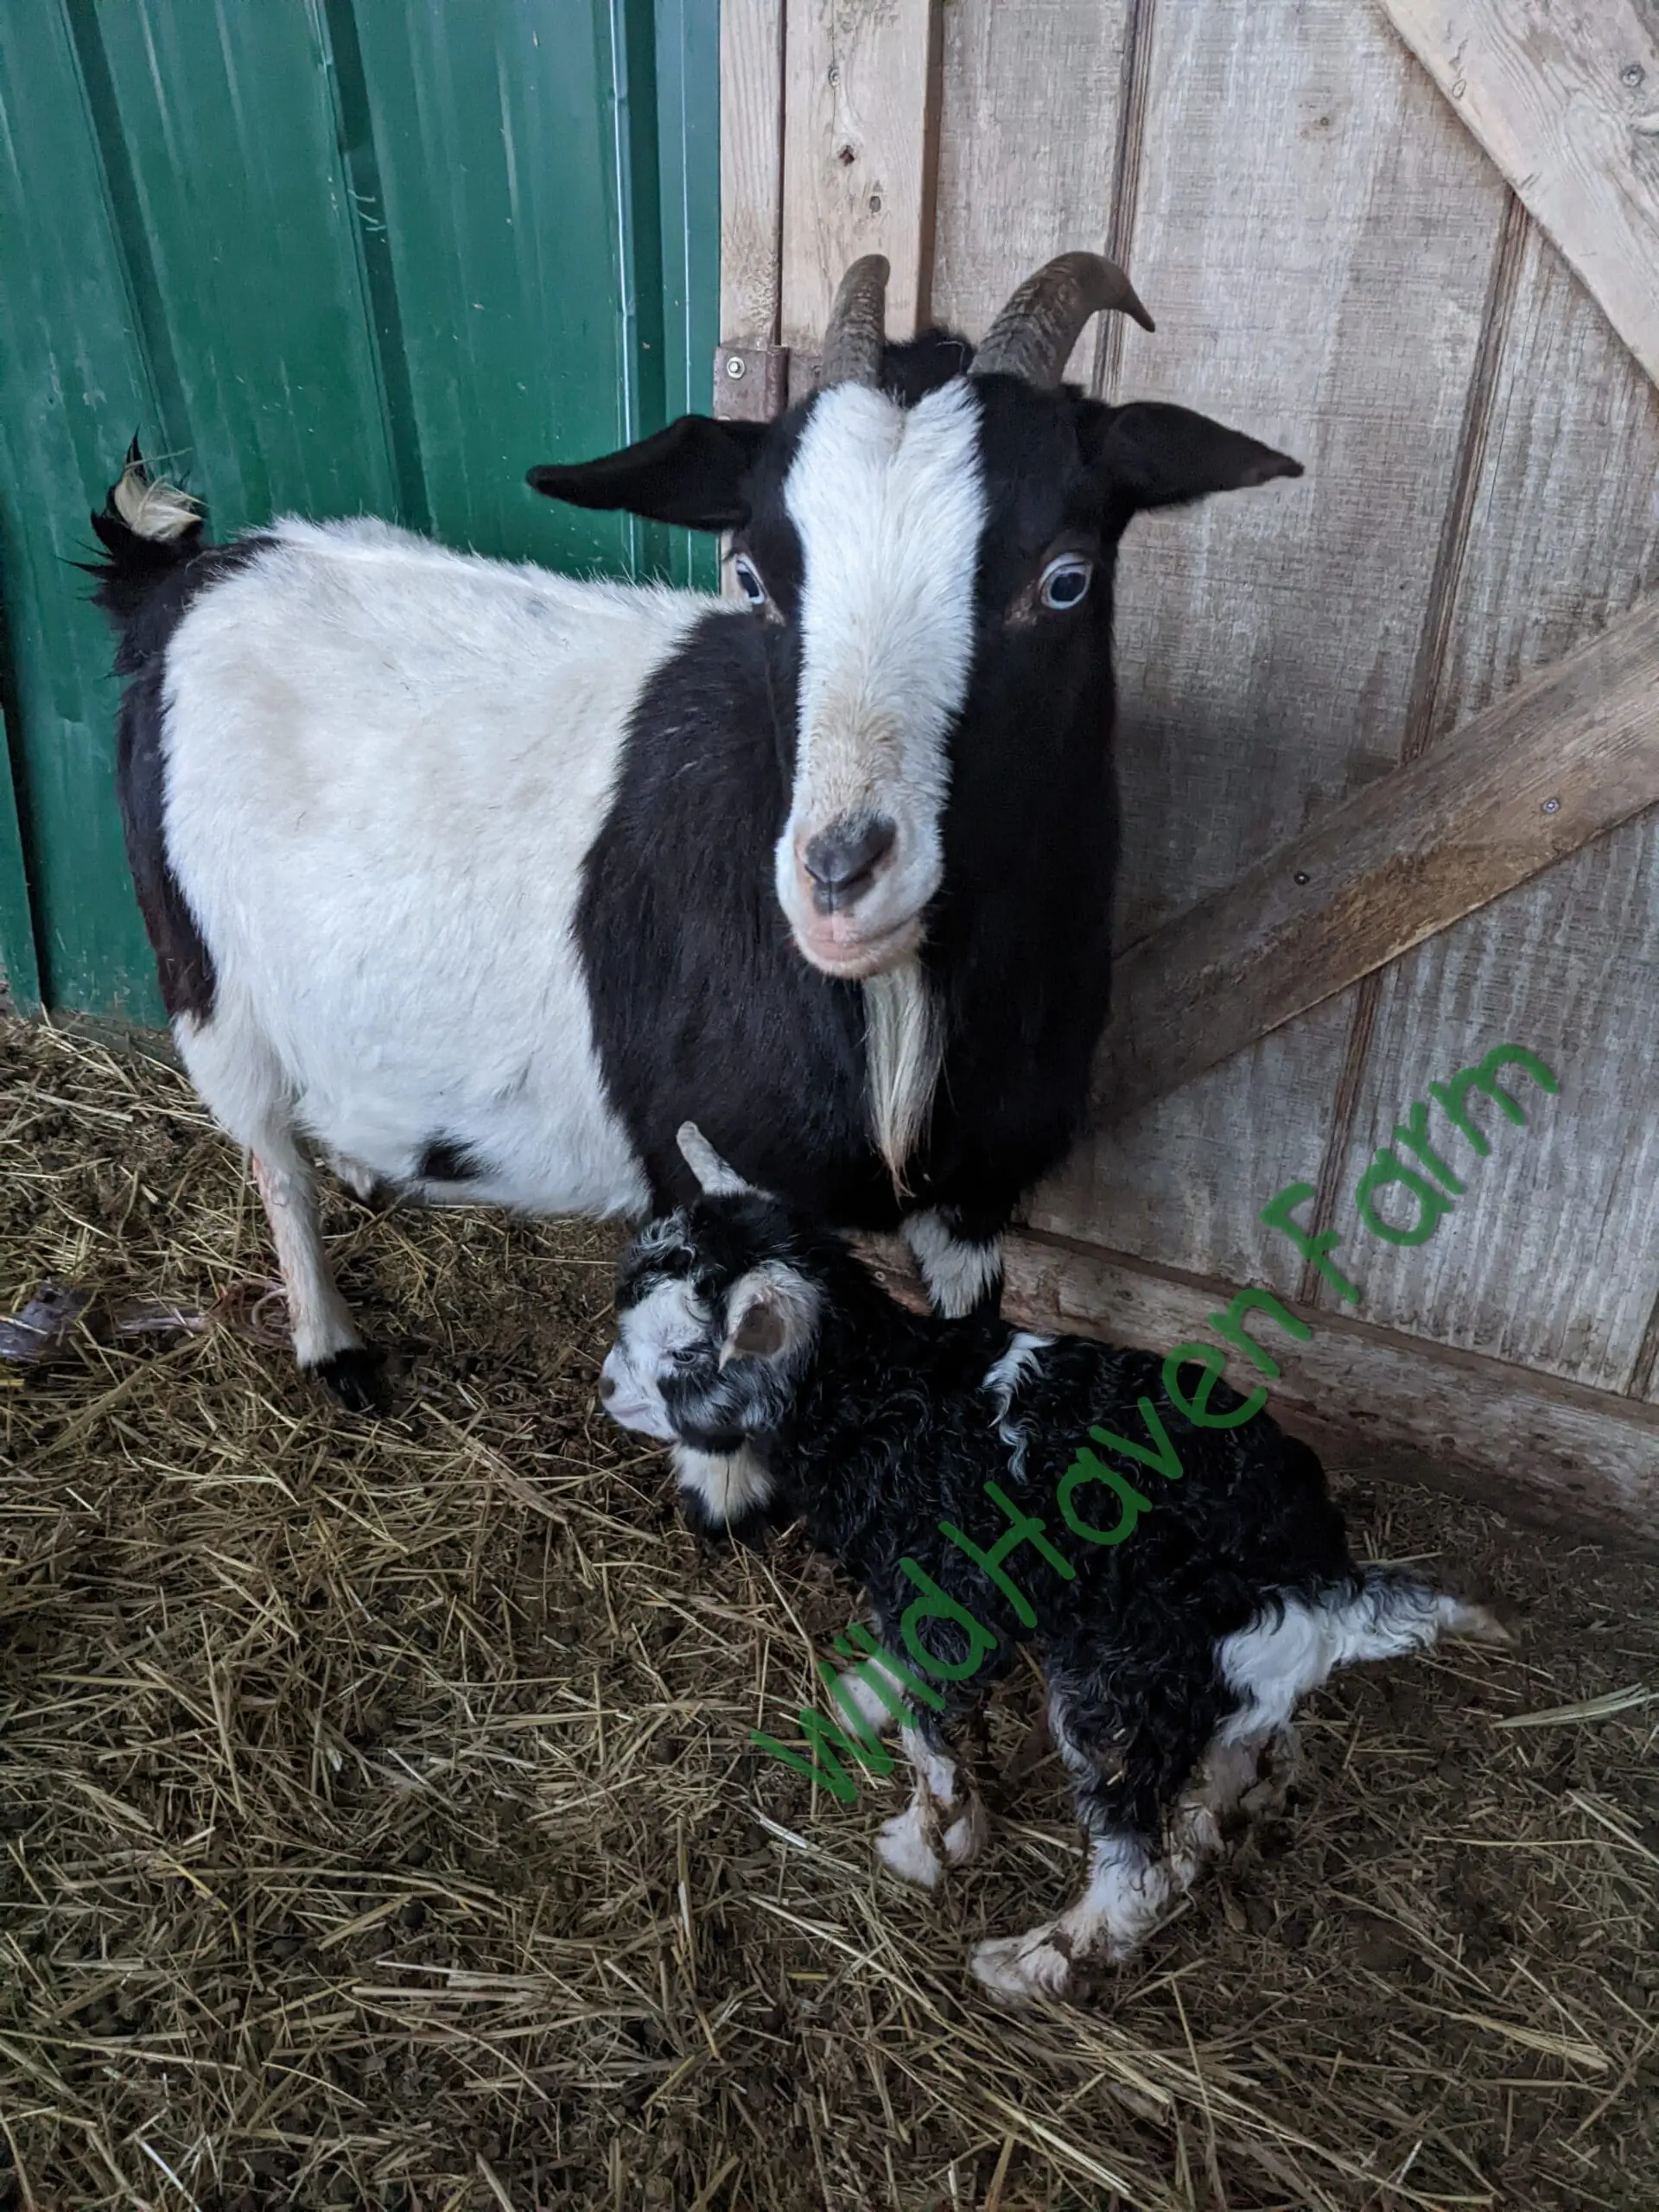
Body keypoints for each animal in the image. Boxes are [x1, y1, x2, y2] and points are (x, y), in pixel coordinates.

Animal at [90, 254, 1309, 1397]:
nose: (838, 873)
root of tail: (190, 579)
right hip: (199, 970)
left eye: (1065, 580)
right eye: (753, 577)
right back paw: (331, 1343)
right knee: (267, 1152)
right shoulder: (714, 1178)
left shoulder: (978, 1193)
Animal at [606, 1123, 1513, 2008]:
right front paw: (879, 1720)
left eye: (685, 1353)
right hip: (1222, 1692)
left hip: (1124, 1686)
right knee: (1215, 1795)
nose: (608, 1386)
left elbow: (931, 1734)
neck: (886, 1402)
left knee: (1136, 1863)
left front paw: (927, 1845)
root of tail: (1319, 1585)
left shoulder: (952, 1601)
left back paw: (1033, 1962)